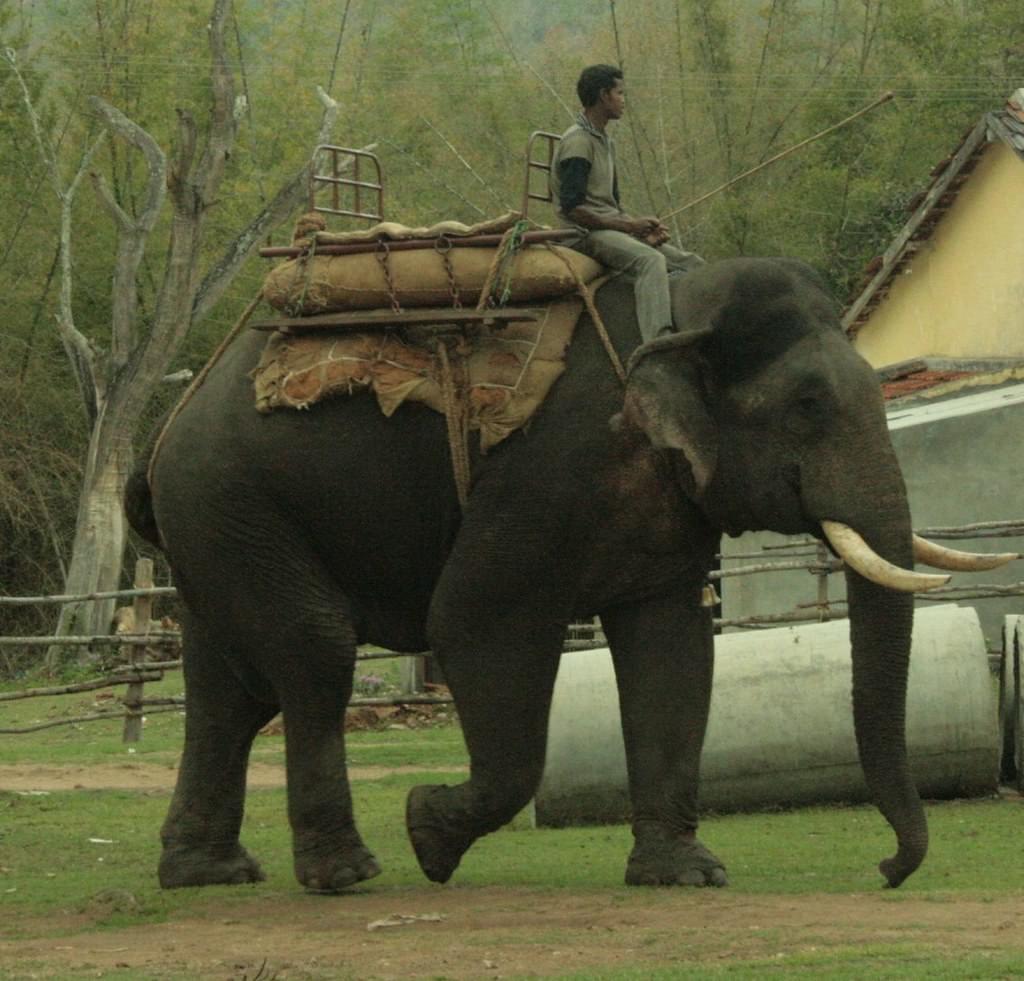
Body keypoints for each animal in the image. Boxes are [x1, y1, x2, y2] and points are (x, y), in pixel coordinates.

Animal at [121, 257, 1007, 892]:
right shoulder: (542, 472)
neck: (679, 306)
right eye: (808, 405)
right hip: (234, 500)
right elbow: (469, 622)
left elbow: (674, 648)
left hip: (219, 524)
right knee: (313, 652)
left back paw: (208, 873)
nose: (886, 869)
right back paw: (346, 874)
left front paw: (686, 876)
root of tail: (166, 428)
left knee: (230, 687)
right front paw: (428, 833)